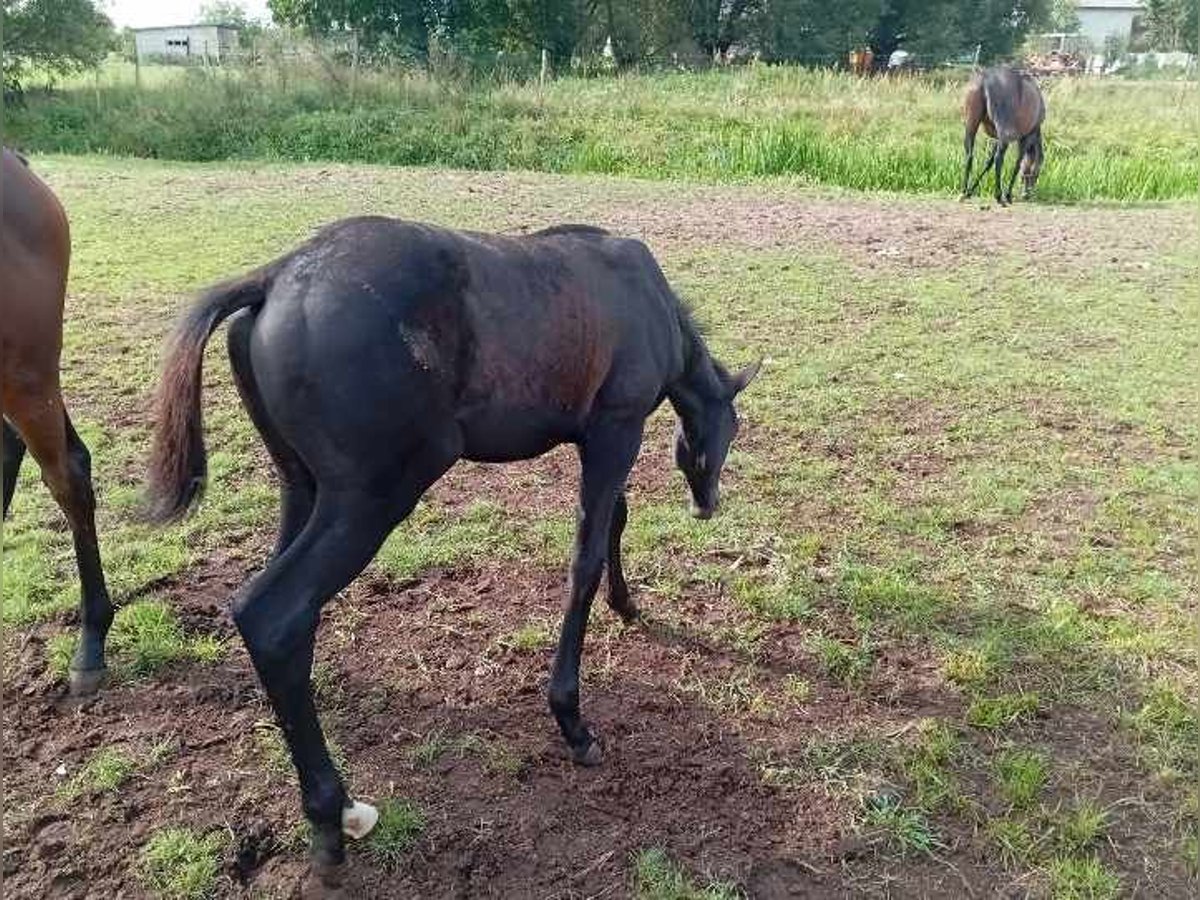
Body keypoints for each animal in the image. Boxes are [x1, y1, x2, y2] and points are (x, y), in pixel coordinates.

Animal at [142, 220, 758, 888]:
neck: (647, 299)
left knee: (278, 617)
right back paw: (331, 814)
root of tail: (278, 274)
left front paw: (627, 603)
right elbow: (586, 557)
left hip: (301, 486)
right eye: (730, 428)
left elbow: (614, 522)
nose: (708, 503)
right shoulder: (614, 430)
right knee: (272, 613)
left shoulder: (599, 440)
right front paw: (571, 717)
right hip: (372, 497)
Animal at [960, 66, 1046, 205]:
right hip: (1005, 132)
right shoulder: (1025, 138)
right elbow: (1018, 164)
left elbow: (988, 163)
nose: (1027, 194)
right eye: (1037, 174)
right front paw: (1008, 194)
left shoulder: (997, 139)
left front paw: (970, 191)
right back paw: (999, 196)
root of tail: (986, 79)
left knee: (969, 155)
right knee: (999, 159)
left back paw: (963, 191)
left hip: (971, 125)